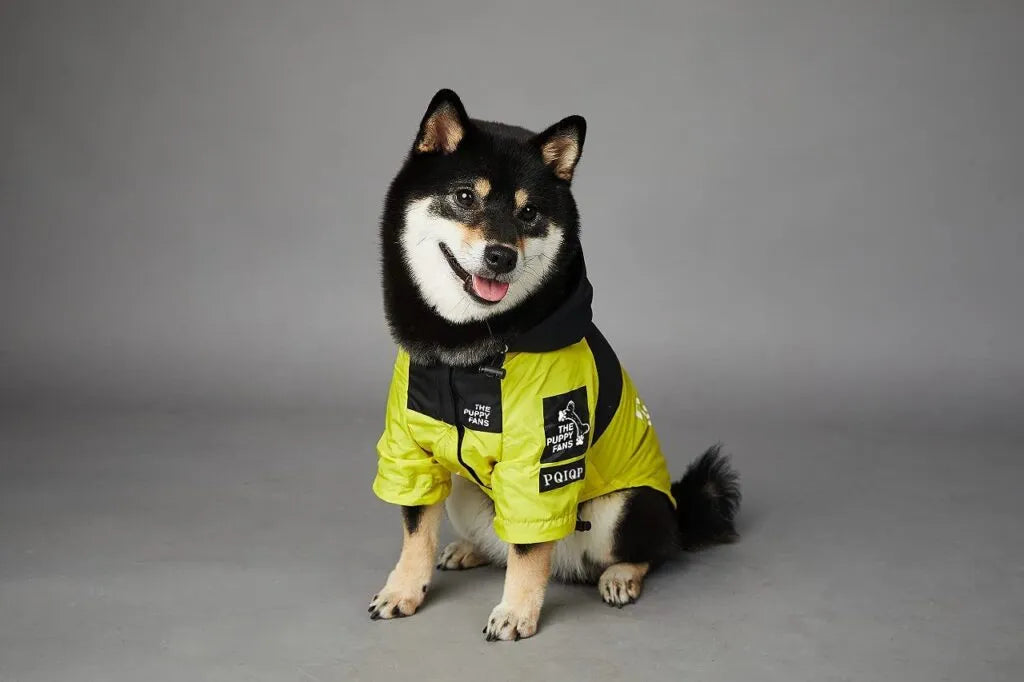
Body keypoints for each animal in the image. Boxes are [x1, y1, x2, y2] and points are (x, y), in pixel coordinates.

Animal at [372, 89, 741, 638]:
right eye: (465, 197)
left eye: (529, 213)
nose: (501, 256)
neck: (467, 349)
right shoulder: (413, 449)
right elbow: (417, 529)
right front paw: (402, 590)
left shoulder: (544, 461)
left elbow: (529, 551)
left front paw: (516, 613)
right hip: (465, 490)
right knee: (498, 541)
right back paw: (469, 550)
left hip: (621, 508)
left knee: (653, 548)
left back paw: (620, 576)